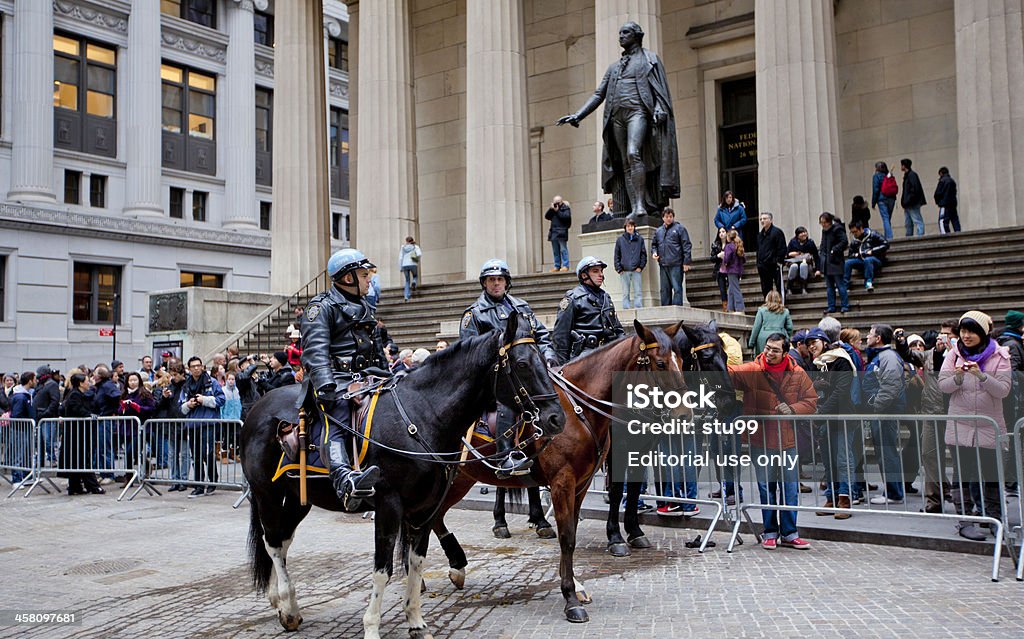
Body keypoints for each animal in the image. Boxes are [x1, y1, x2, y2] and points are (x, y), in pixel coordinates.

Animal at [241, 311, 561, 634]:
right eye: (522, 364)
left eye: (544, 361)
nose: (556, 418)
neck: (422, 414)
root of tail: (258, 406)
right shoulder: (389, 505)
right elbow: (383, 569)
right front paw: (371, 626)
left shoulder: (425, 508)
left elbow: (417, 562)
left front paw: (416, 621)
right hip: (267, 494)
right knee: (272, 541)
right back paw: (287, 605)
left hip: (298, 497)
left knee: (282, 539)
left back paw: (281, 602)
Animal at [430, 319, 679, 622]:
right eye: (660, 363)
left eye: (680, 360)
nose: (686, 412)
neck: (580, 410)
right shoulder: (563, 482)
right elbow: (569, 535)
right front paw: (571, 597)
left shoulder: (582, 484)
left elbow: (572, 531)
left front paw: (577, 585)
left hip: (459, 479)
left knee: (432, 518)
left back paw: (456, 566)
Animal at [602, 321, 733, 557]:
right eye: (706, 358)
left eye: (726, 356)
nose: (729, 402)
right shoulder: (619, 449)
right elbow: (617, 489)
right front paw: (615, 536)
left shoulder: (642, 447)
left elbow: (633, 488)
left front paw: (634, 531)